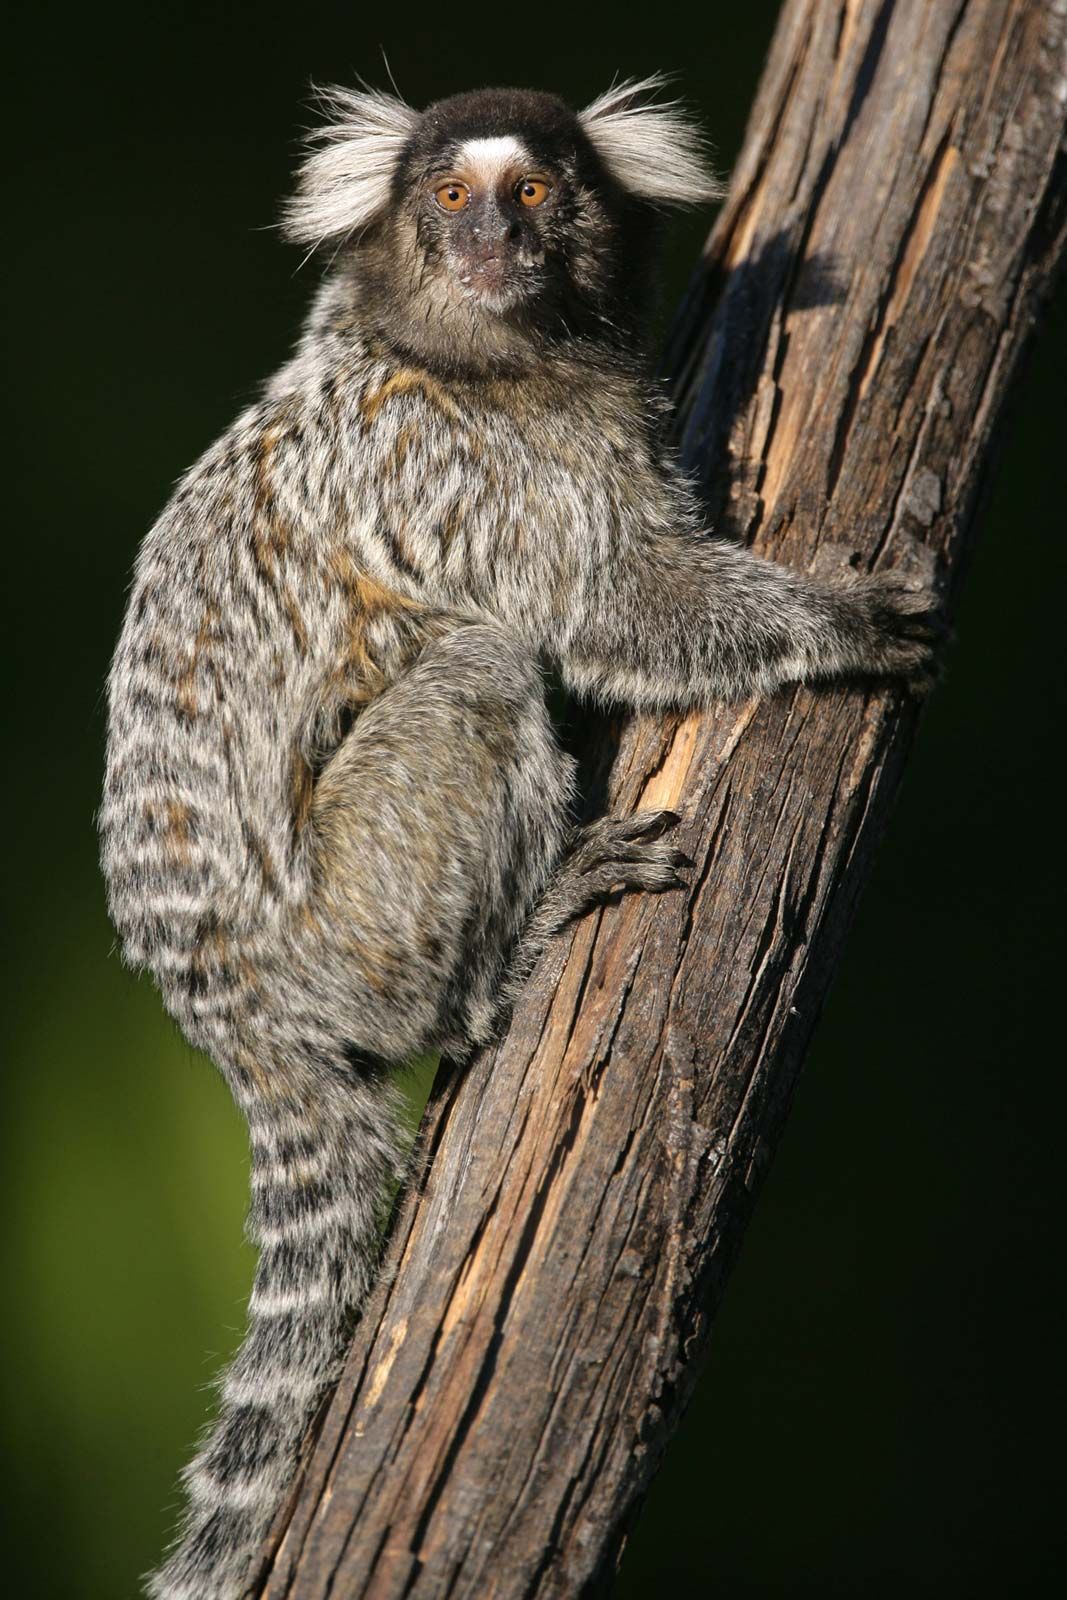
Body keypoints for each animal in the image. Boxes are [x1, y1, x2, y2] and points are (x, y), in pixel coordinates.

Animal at [97, 78, 934, 1600]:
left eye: (536, 192)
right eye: (448, 198)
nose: (494, 241)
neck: (473, 359)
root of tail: (234, 1017)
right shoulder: (476, 472)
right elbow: (603, 605)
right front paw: (830, 624)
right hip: (355, 921)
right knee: (481, 675)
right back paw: (522, 940)